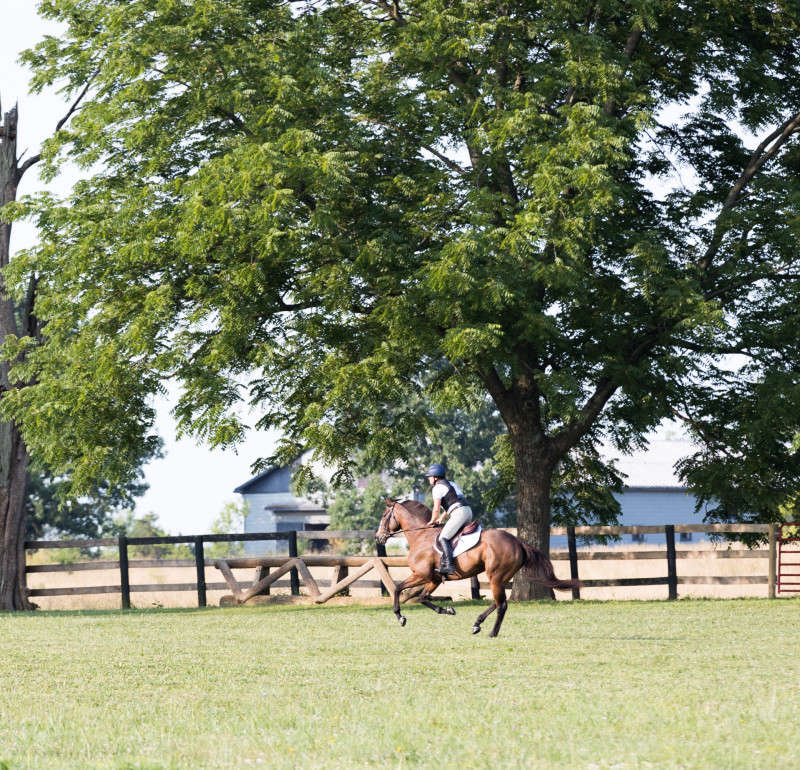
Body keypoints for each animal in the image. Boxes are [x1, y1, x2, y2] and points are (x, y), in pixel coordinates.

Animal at [376, 498, 576, 636]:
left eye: (384, 515)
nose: (378, 537)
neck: (421, 535)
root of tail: (517, 542)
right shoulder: (433, 579)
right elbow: (423, 597)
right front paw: (447, 610)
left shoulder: (421, 575)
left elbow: (398, 589)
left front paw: (400, 617)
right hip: (501, 578)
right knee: (498, 601)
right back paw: (477, 623)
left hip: (495, 576)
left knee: (502, 604)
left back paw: (492, 633)